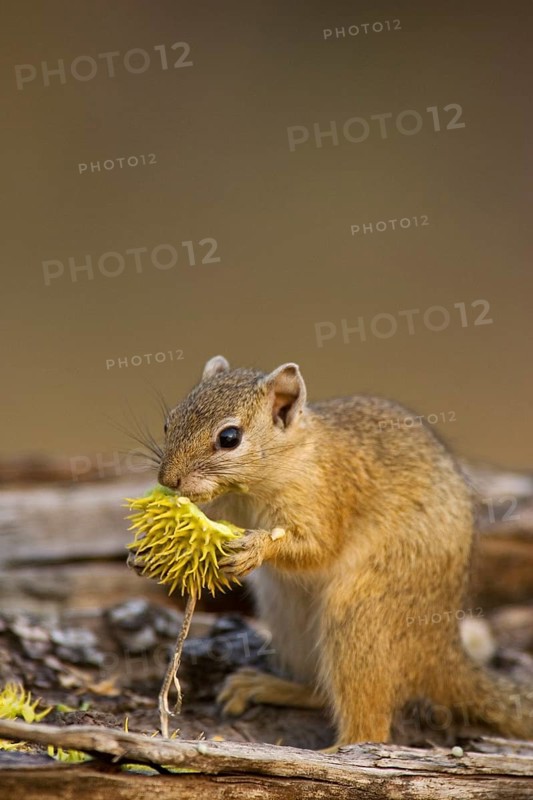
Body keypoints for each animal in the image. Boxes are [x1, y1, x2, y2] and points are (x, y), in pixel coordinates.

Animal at [157, 355, 533, 747]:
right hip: (289, 619)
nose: (168, 480)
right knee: (321, 692)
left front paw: (256, 548)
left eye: (229, 438)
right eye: (169, 422)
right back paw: (265, 686)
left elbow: (318, 548)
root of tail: (439, 651)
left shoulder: (329, 498)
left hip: (360, 618)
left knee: (369, 730)